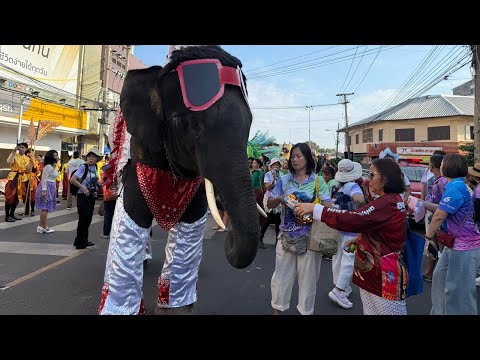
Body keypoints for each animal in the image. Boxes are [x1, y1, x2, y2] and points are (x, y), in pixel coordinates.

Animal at [98, 45, 262, 316]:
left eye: (249, 125)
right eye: (194, 126)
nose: (228, 237)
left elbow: (189, 232)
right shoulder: (140, 157)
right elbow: (131, 222)